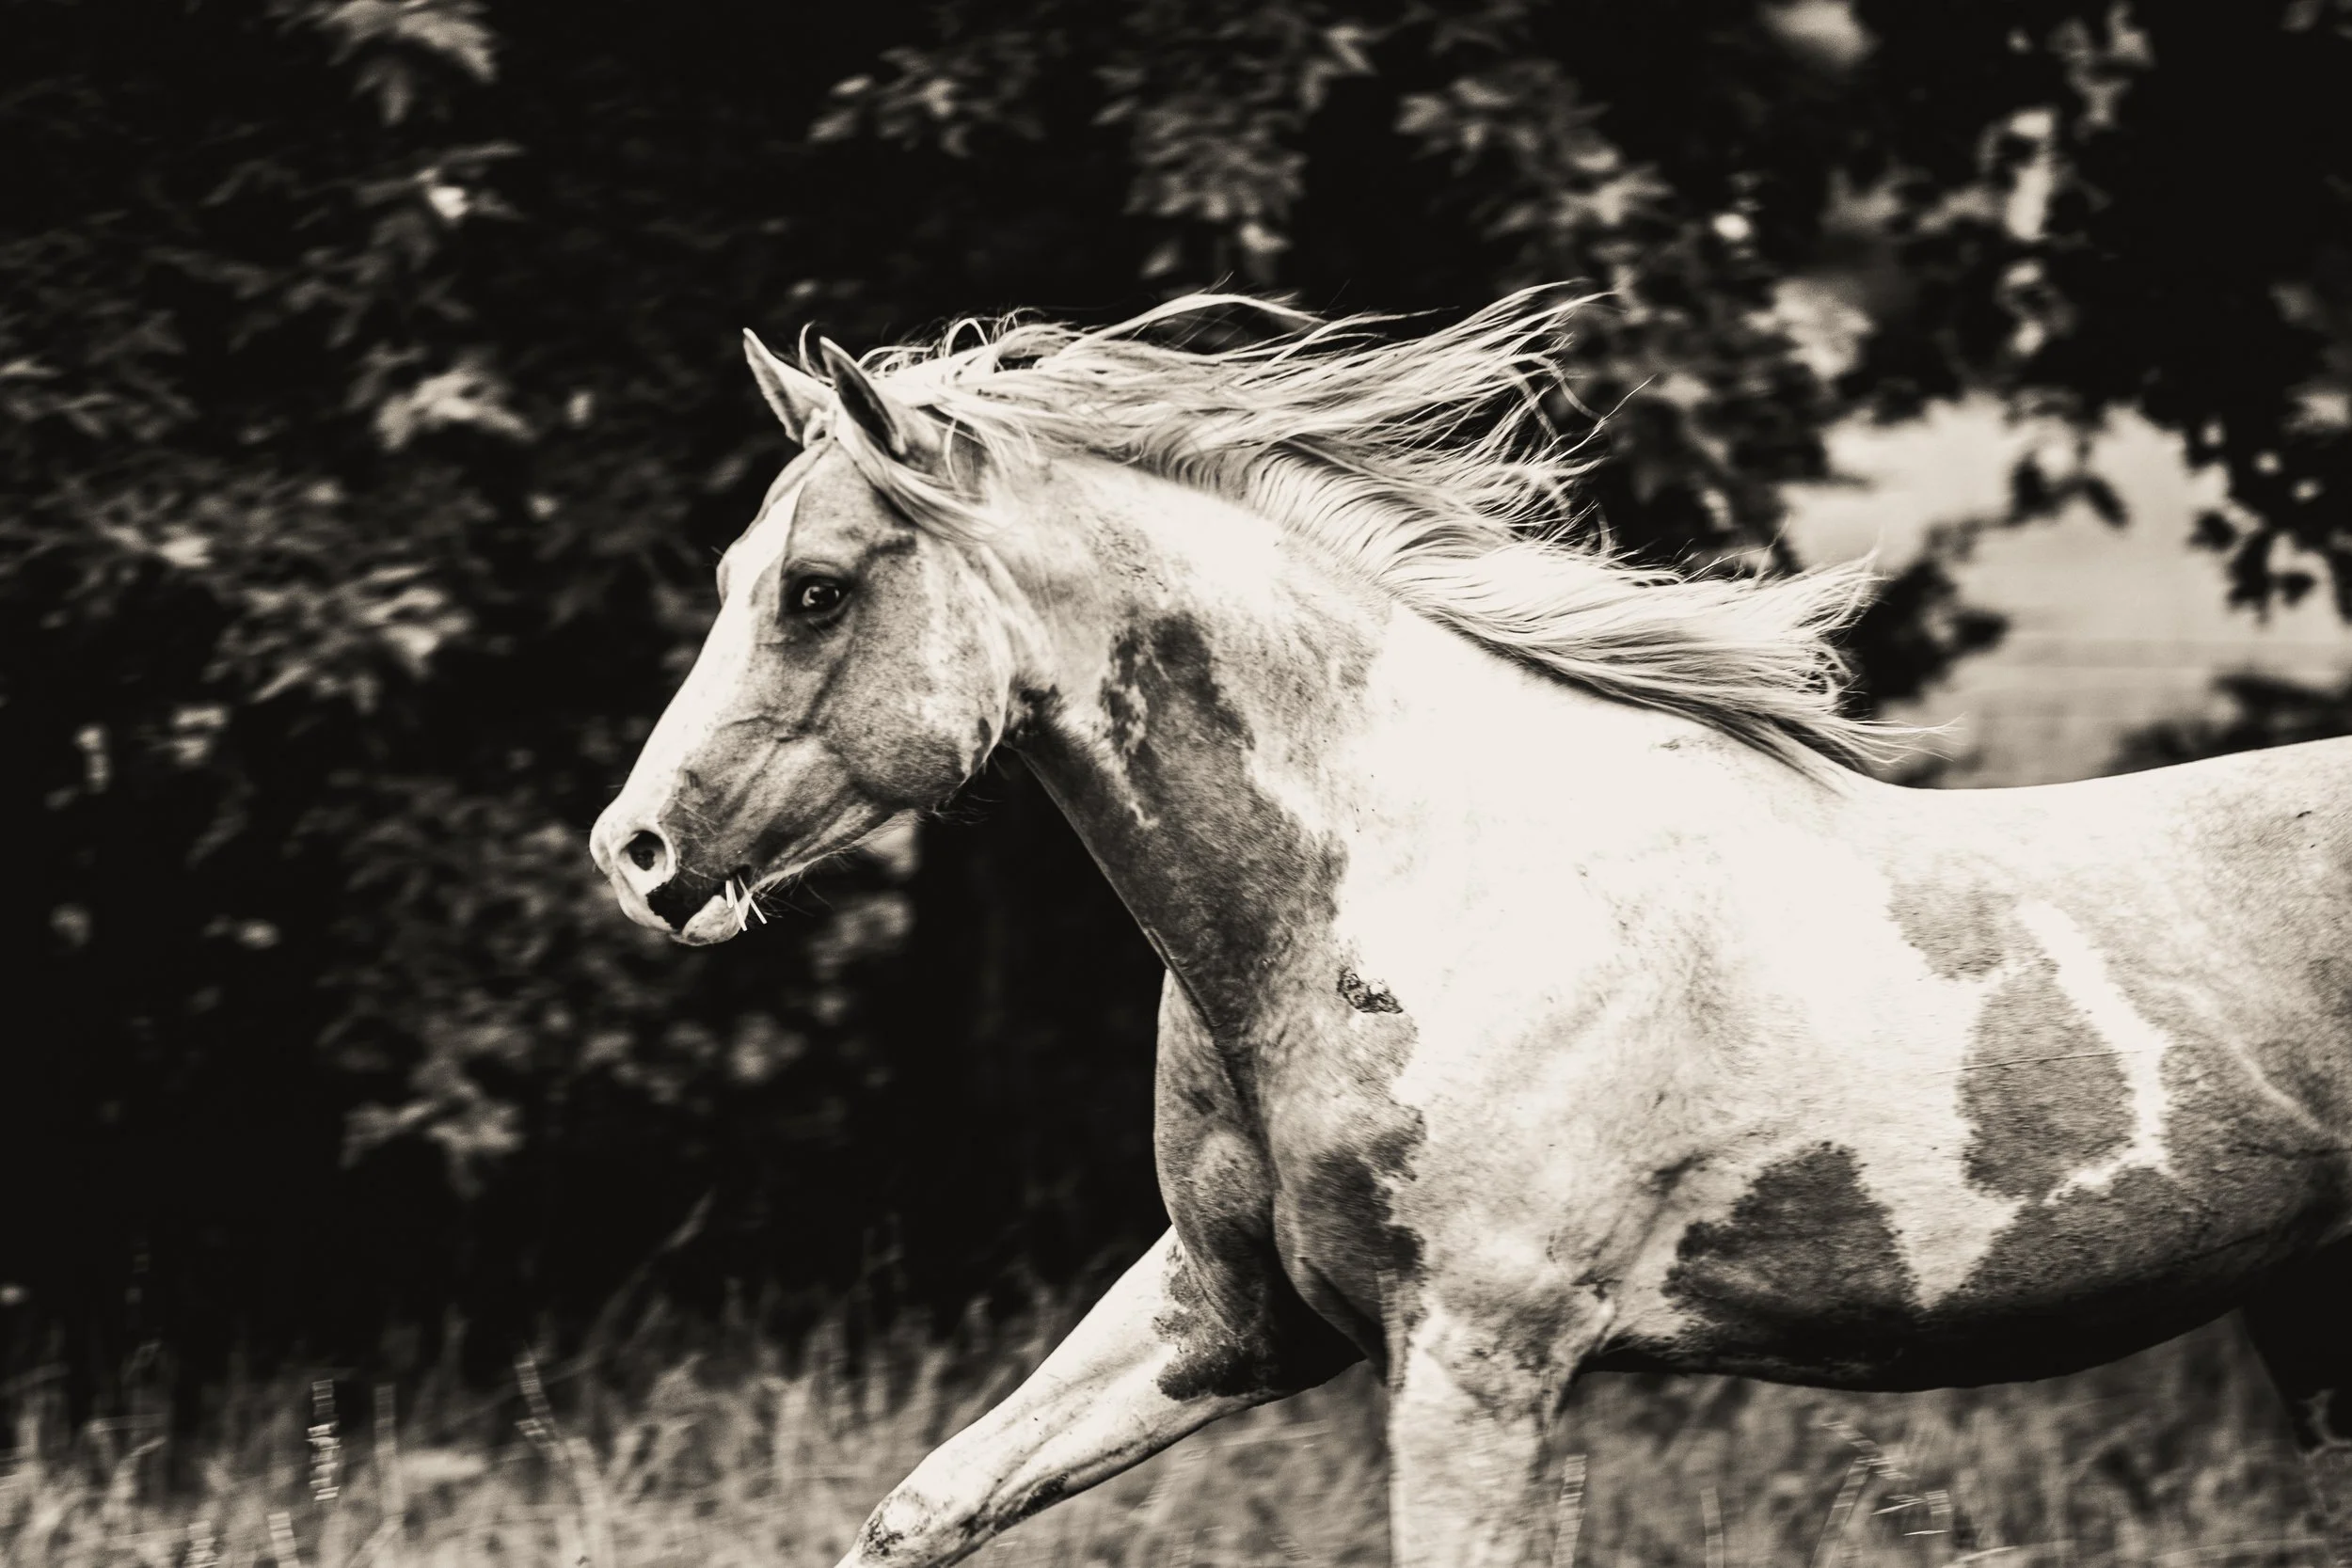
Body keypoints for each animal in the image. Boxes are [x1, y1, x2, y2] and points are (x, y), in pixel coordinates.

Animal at [588, 291, 2352, 1568]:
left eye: (817, 588)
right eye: (739, 572)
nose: (636, 853)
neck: (1418, 894)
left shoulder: (1481, 1353)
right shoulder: (1228, 1313)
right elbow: (926, 1506)